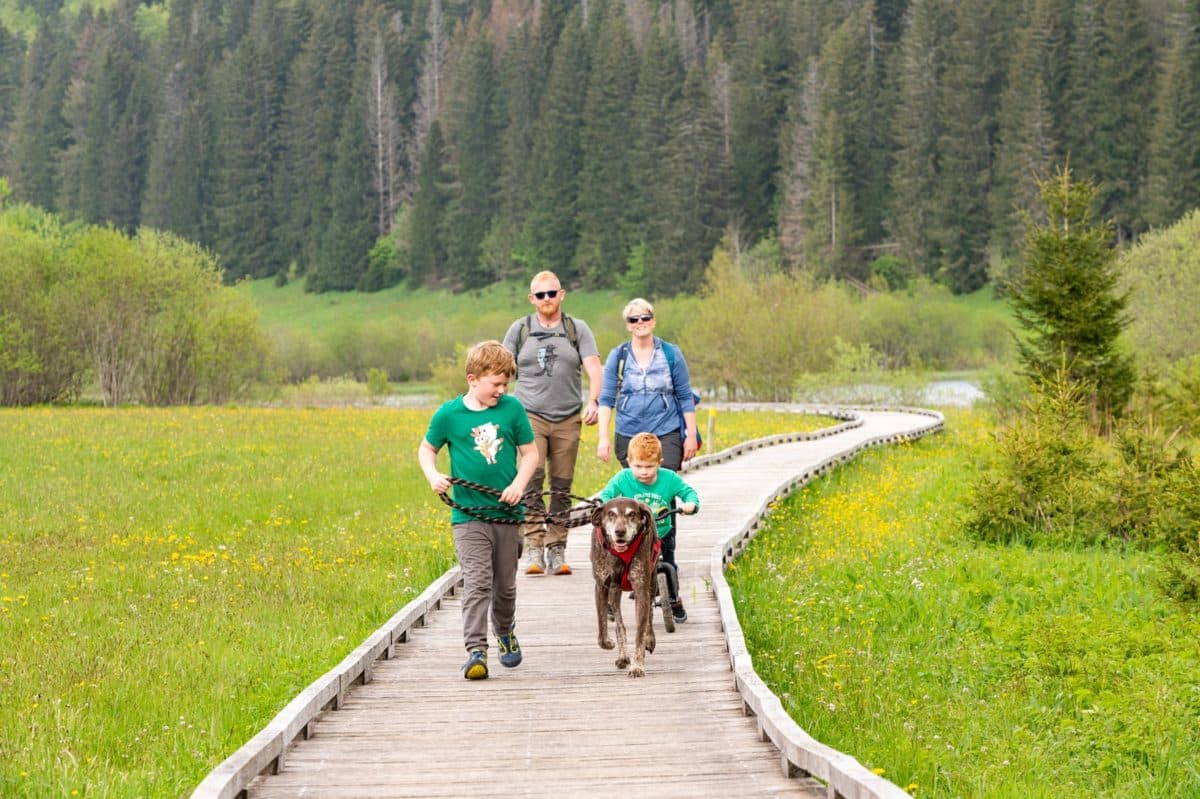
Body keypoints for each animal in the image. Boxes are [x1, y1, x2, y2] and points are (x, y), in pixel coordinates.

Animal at [588, 494, 657, 676]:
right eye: (611, 514)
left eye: (631, 514)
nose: (620, 532)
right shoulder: (602, 587)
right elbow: (603, 627)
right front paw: (609, 643)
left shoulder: (641, 588)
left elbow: (640, 632)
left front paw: (637, 665)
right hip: (614, 592)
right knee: (619, 624)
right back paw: (623, 656)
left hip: (652, 581)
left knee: (650, 614)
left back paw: (650, 639)